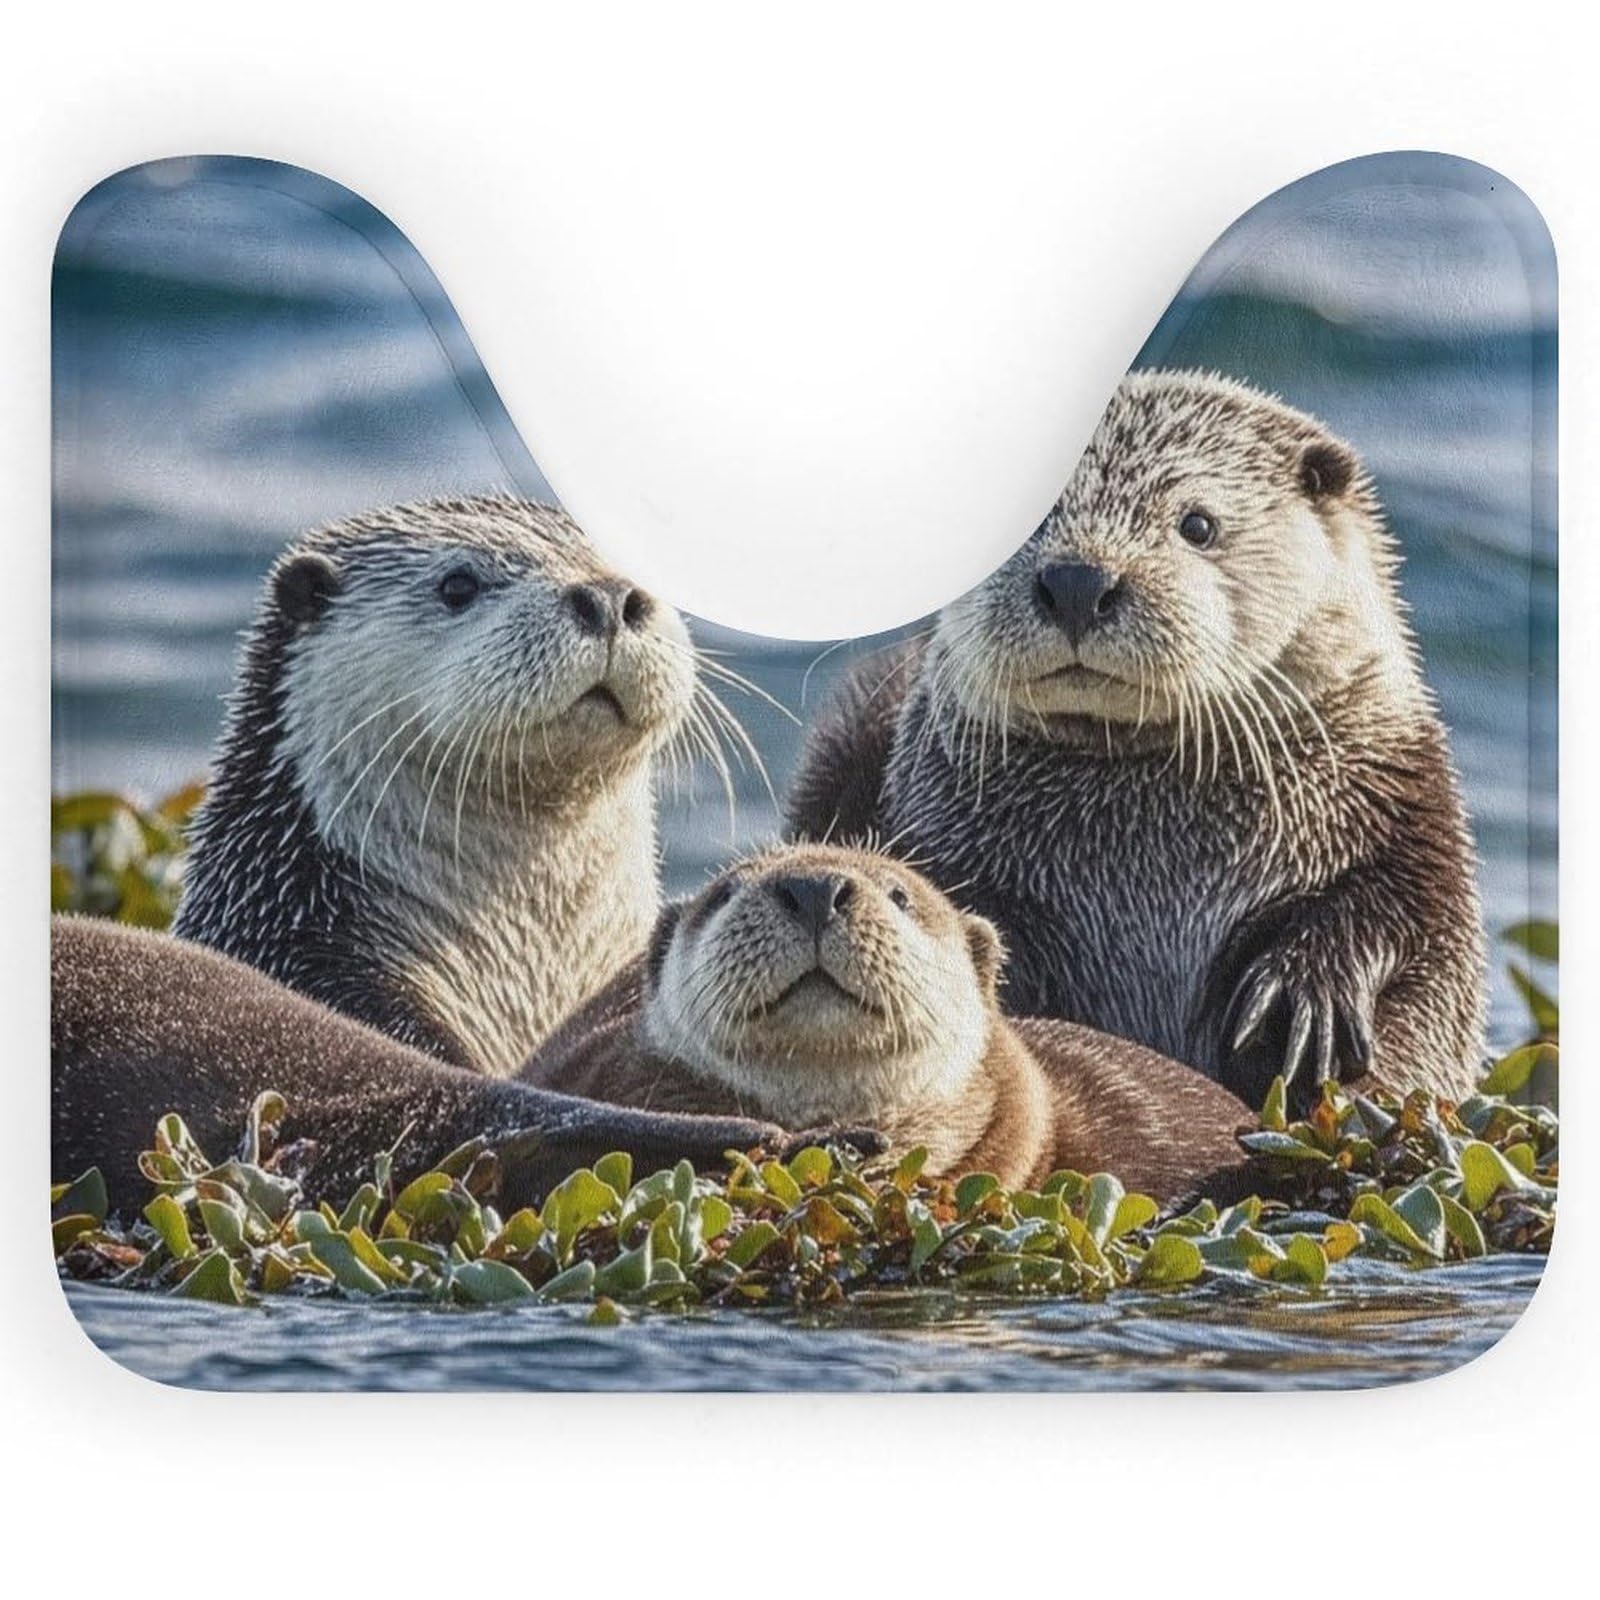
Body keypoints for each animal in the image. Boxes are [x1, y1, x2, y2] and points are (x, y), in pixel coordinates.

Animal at [786, 371, 1487, 1109]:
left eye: (1198, 524)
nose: (1077, 580)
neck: (1148, 866)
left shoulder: (1407, 820)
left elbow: (1406, 924)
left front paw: (1308, 993)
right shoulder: (941, 838)